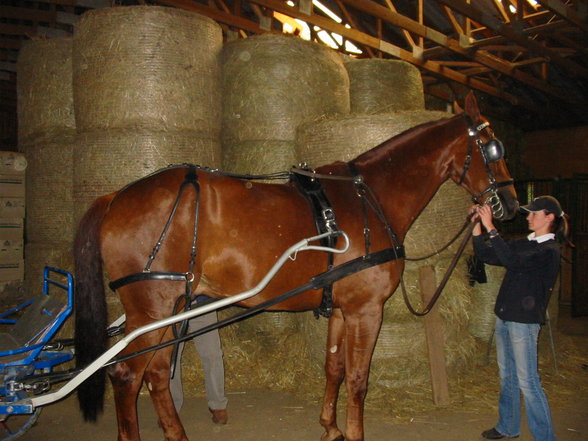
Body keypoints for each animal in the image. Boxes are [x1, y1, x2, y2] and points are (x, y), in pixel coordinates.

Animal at [74, 91, 520, 438]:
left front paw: (330, 426)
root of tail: (115, 197)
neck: (369, 199)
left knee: (155, 375)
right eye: (494, 147)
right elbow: (358, 380)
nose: (510, 205)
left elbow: (333, 368)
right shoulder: (366, 310)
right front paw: (353, 432)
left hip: (170, 310)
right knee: (127, 376)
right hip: (151, 310)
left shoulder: (341, 309)